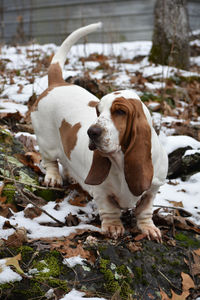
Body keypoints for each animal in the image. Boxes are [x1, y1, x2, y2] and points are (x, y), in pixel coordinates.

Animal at [31, 22, 169, 241]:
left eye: (120, 111)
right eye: (98, 110)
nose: (92, 132)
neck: (121, 160)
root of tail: (57, 83)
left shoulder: (152, 190)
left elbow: (145, 210)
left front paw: (149, 228)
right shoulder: (102, 192)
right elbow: (109, 209)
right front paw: (113, 227)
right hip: (46, 142)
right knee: (50, 161)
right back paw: (53, 178)